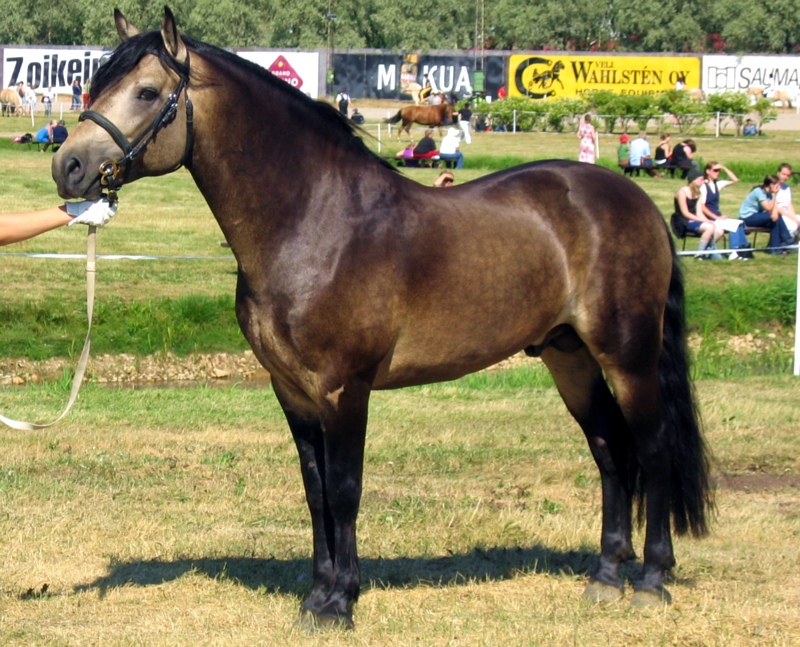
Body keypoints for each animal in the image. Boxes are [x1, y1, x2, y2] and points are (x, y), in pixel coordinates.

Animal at [51, 6, 712, 632]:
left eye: (145, 92)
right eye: (96, 84)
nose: (69, 167)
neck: (316, 221)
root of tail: (634, 202)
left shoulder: (345, 389)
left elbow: (345, 491)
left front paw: (340, 602)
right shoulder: (293, 392)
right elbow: (315, 491)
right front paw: (318, 595)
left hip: (627, 355)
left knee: (652, 448)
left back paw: (651, 581)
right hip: (567, 355)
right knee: (609, 449)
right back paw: (605, 576)